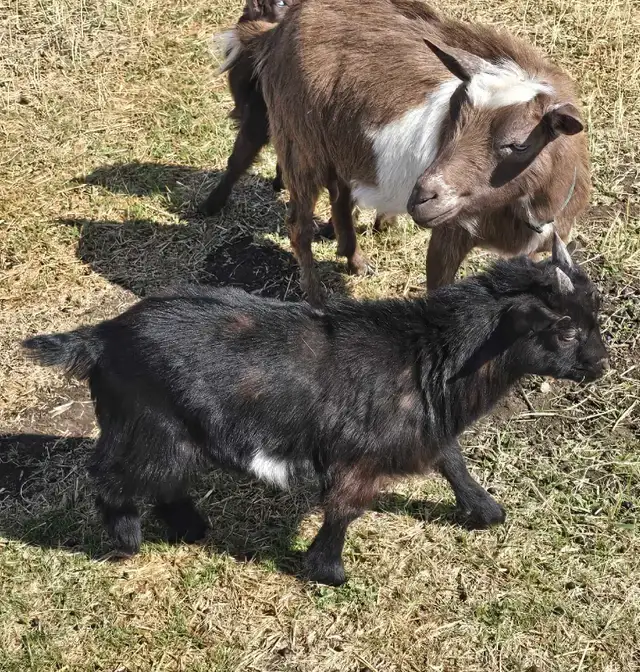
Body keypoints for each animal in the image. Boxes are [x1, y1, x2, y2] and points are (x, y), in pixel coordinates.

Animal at [24, 235, 608, 585]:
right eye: (565, 329)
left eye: (594, 316)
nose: (601, 364)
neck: (427, 354)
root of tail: (101, 337)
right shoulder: (358, 458)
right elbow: (345, 508)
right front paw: (328, 570)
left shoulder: (424, 426)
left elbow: (451, 459)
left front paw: (486, 511)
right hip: (146, 427)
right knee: (112, 477)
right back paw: (127, 543)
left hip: (175, 433)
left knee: (164, 480)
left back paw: (191, 528)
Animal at [224, 0, 590, 305]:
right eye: (454, 115)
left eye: (518, 144)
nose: (422, 197)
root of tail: (281, 26)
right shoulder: (448, 235)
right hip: (299, 142)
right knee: (299, 226)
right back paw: (316, 298)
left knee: (340, 196)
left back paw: (355, 261)